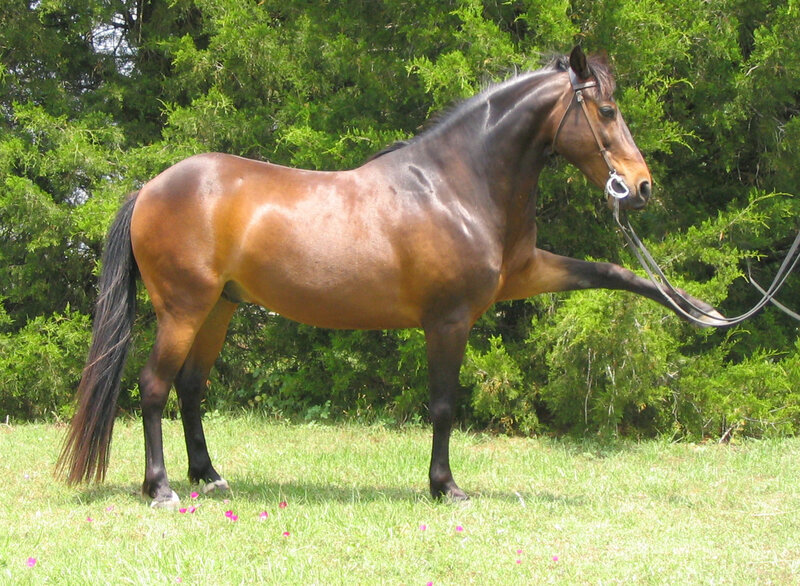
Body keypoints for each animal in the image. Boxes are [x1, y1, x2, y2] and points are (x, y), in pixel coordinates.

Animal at [58, 46, 723, 507]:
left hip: (220, 307)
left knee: (191, 388)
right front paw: (445, 486)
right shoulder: (448, 321)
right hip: (184, 308)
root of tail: (150, 188)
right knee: (153, 387)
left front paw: (700, 308)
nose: (640, 187)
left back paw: (210, 477)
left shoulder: (526, 272)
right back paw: (162, 487)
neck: (456, 184)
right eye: (606, 110)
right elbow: (444, 405)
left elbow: (611, 271)